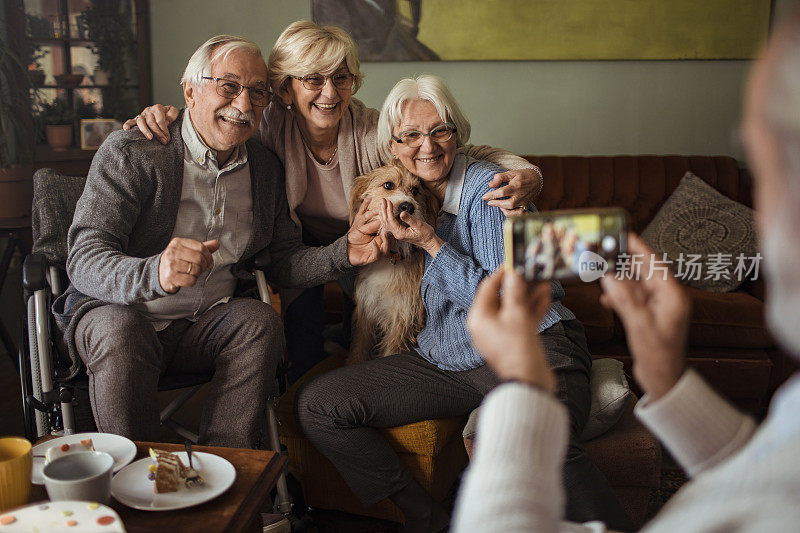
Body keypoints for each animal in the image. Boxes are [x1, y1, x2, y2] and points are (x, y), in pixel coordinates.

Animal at [348, 160, 440, 364]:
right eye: (388, 185)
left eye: (415, 190)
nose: (408, 206)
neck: (391, 257)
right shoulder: (366, 314)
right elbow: (359, 350)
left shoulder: (402, 322)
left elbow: (391, 350)